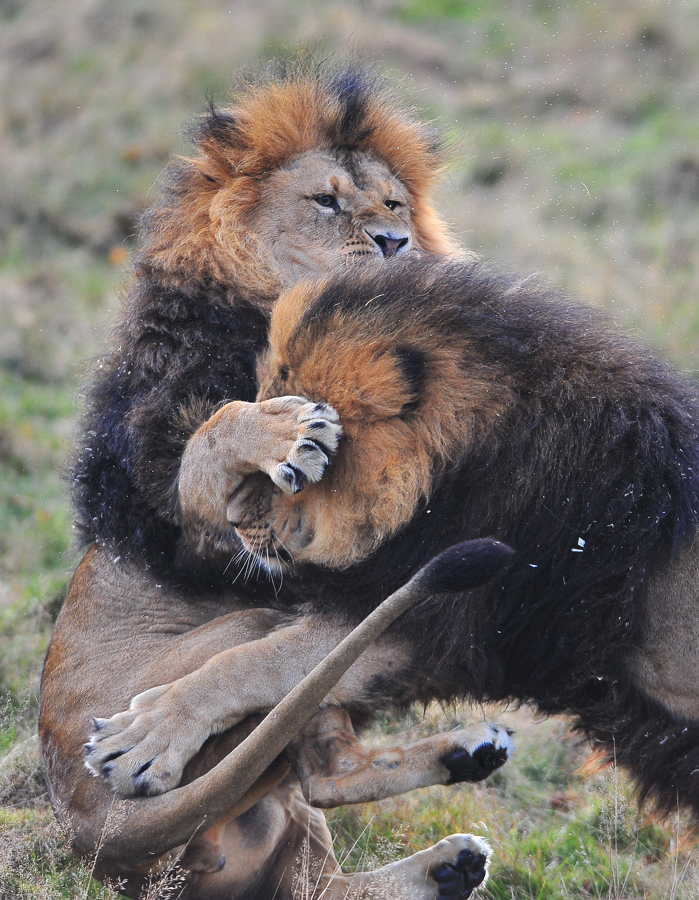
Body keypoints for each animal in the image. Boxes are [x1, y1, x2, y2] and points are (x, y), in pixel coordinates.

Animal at [41, 59, 516, 896]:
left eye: (393, 203)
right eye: (324, 202)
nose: (395, 242)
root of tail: (93, 833)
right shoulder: (206, 530)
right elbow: (223, 423)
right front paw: (292, 428)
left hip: (288, 815)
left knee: (322, 804)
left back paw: (456, 820)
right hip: (257, 621)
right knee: (301, 733)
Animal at [86, 250, 699, 832]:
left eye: (303, 470)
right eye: (271, 402)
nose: (233, 520)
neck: (466, 459)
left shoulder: (421, 622)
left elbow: (247, 664)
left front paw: (143, 738)